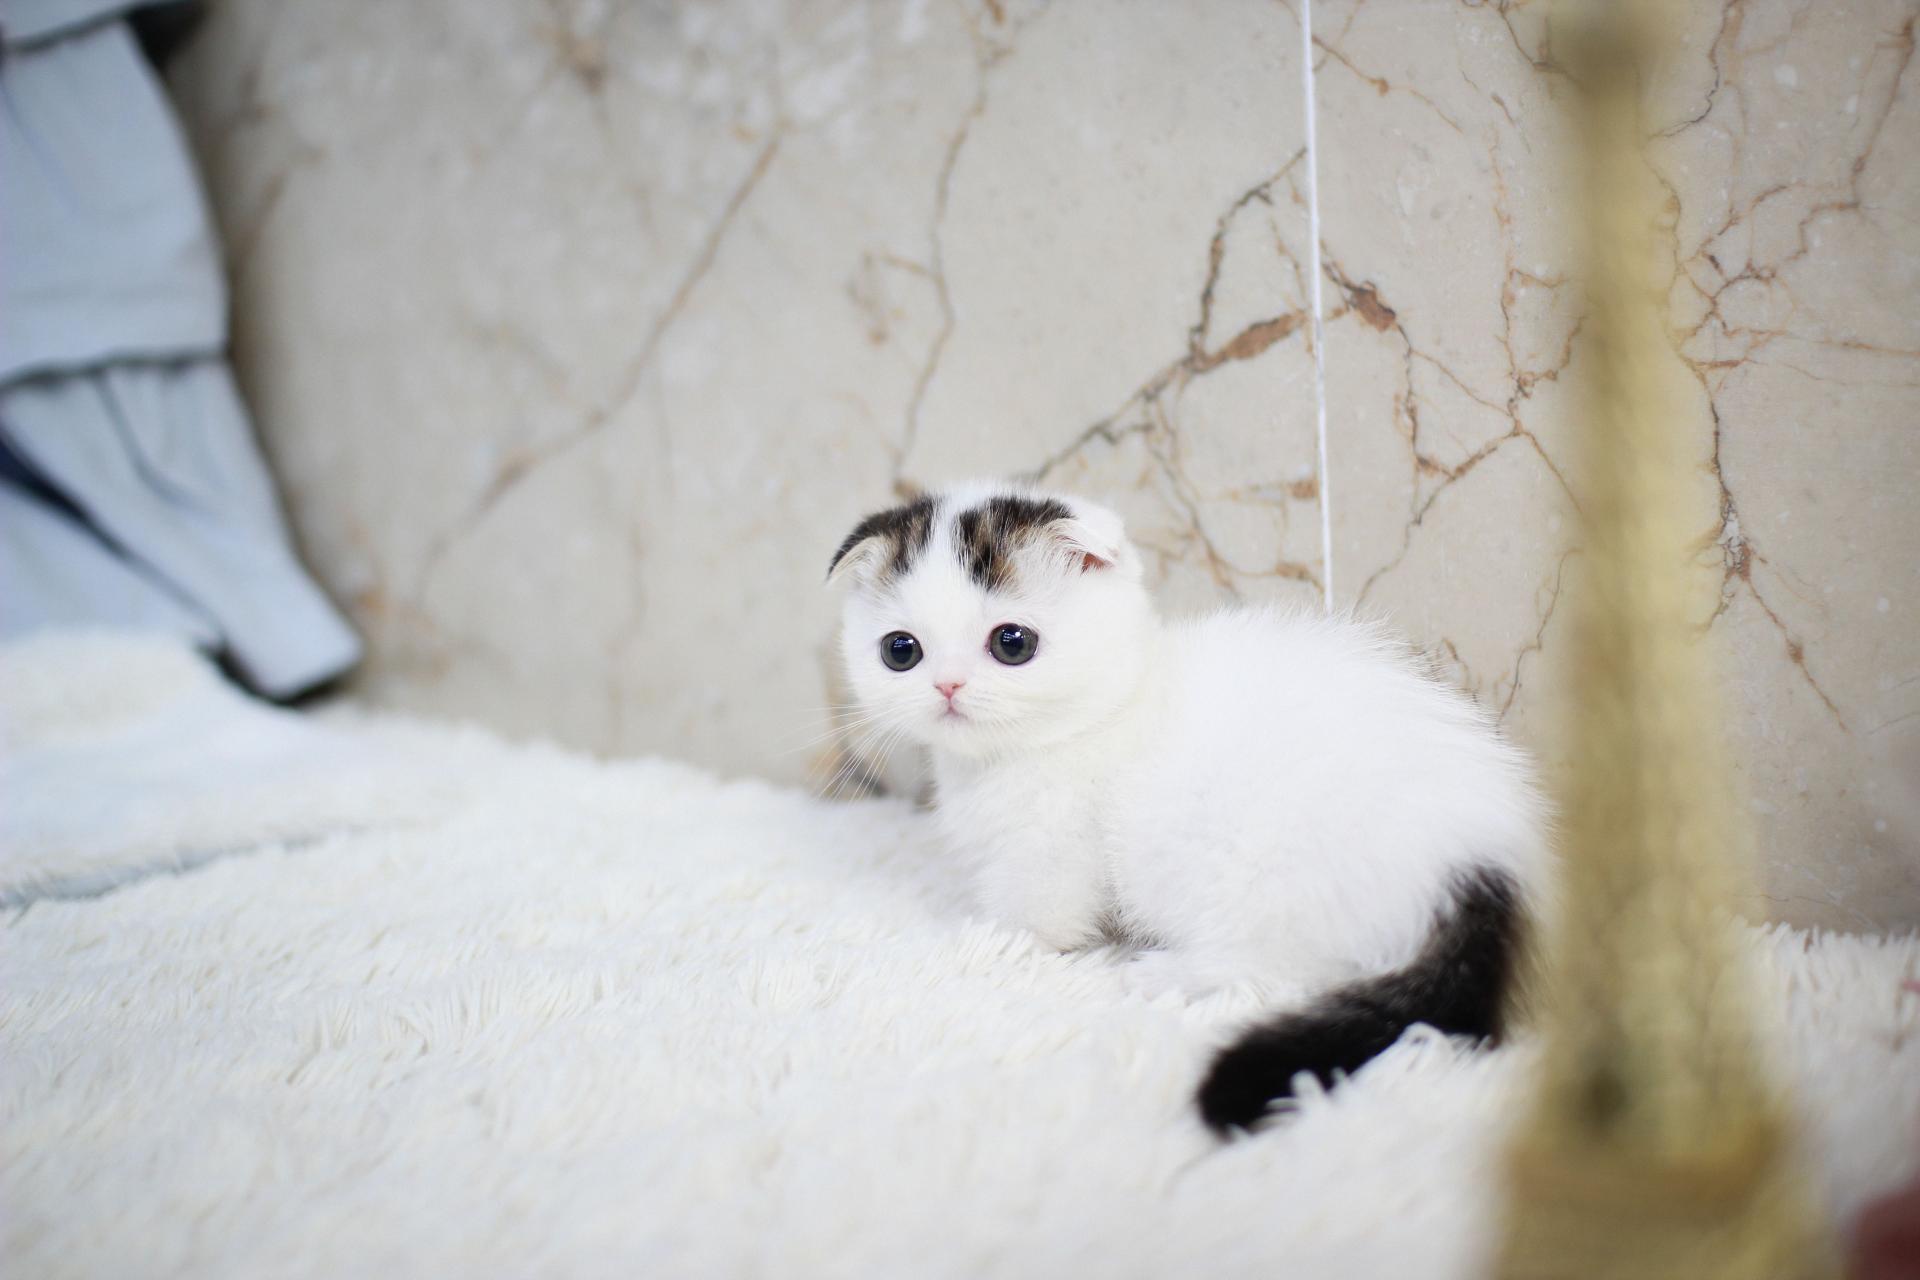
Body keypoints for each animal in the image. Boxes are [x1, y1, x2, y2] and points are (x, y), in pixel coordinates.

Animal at [827, 482, 1552, 1133]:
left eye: (1012, 643)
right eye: (900, 651)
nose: (948, 687)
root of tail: (1482, 866)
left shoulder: (1054, 849)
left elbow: (1038, 919)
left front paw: (983, 939)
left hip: (1254, 866)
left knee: (1279, 972)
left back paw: (1169, 973)